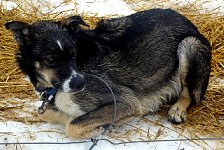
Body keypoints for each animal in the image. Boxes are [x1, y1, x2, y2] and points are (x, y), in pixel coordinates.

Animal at [5, 8, 212, 139]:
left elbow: (73, 126)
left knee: (189, 92)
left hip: (189, 44)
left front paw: (95, 129)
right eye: (50, 60)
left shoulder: (125, 102)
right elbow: (47, 114)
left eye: (73, 54)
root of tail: (189, 23)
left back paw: (178, 109)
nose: (80, 84)